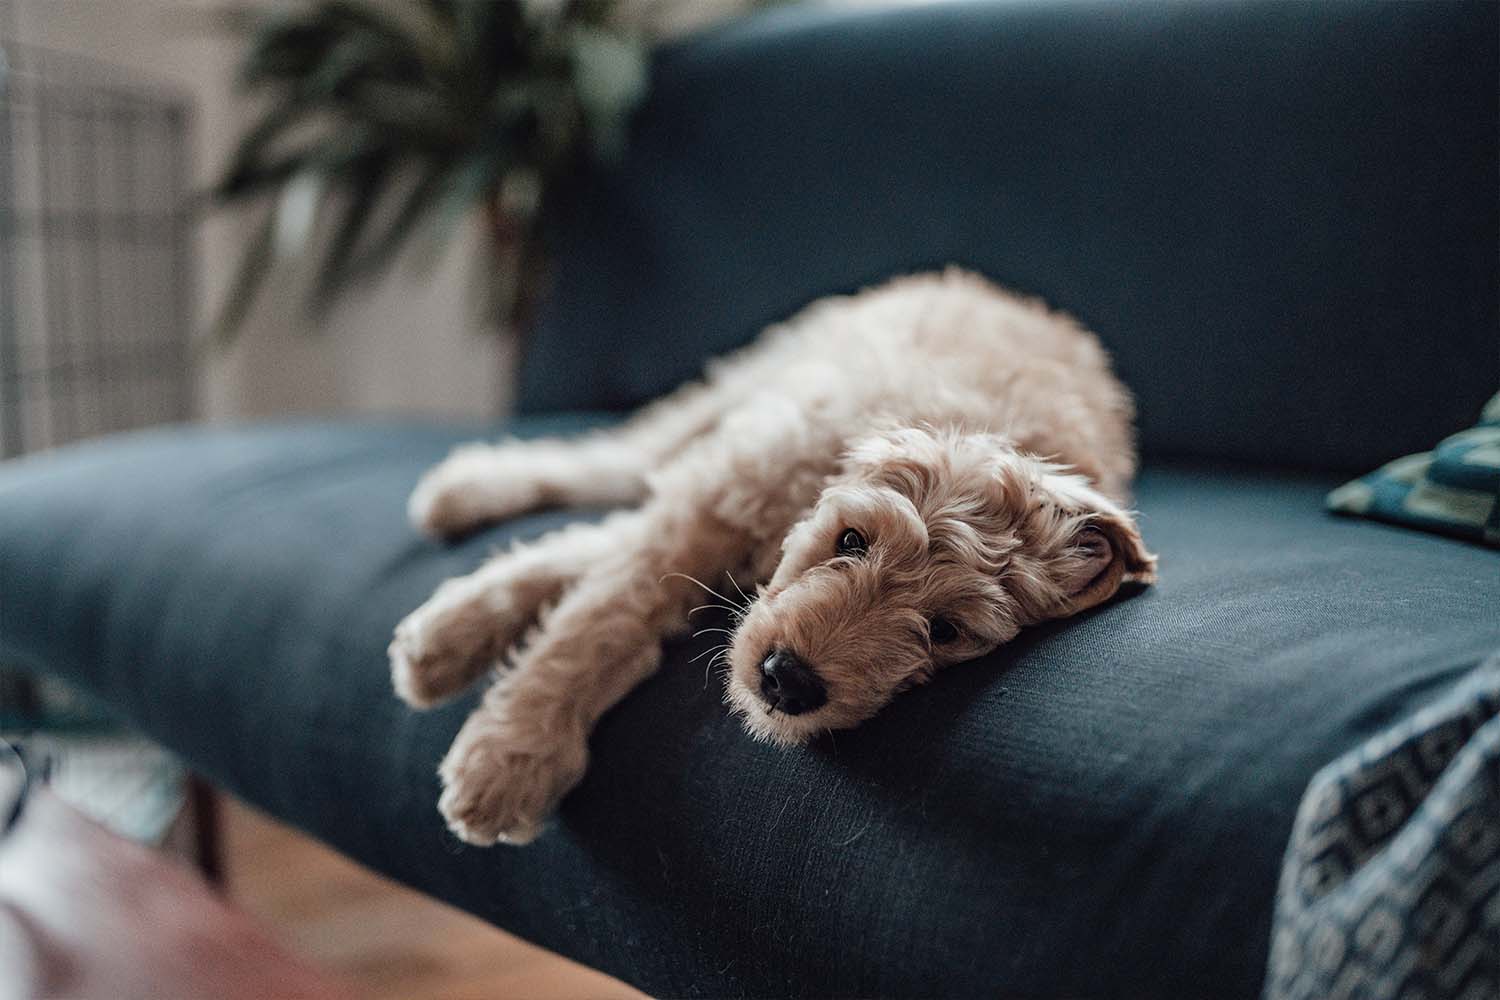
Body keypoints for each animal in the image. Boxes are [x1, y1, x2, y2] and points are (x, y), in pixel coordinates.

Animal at [393, 268, 1152, 845]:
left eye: (945, 630)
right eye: (852, 540)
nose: (787, 681)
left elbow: (604, 562)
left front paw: (454, 644)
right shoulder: (727, 490)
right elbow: (601, 617)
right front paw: (511, 756)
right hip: (752, 383)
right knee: (624, 459)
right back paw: (466, 490)